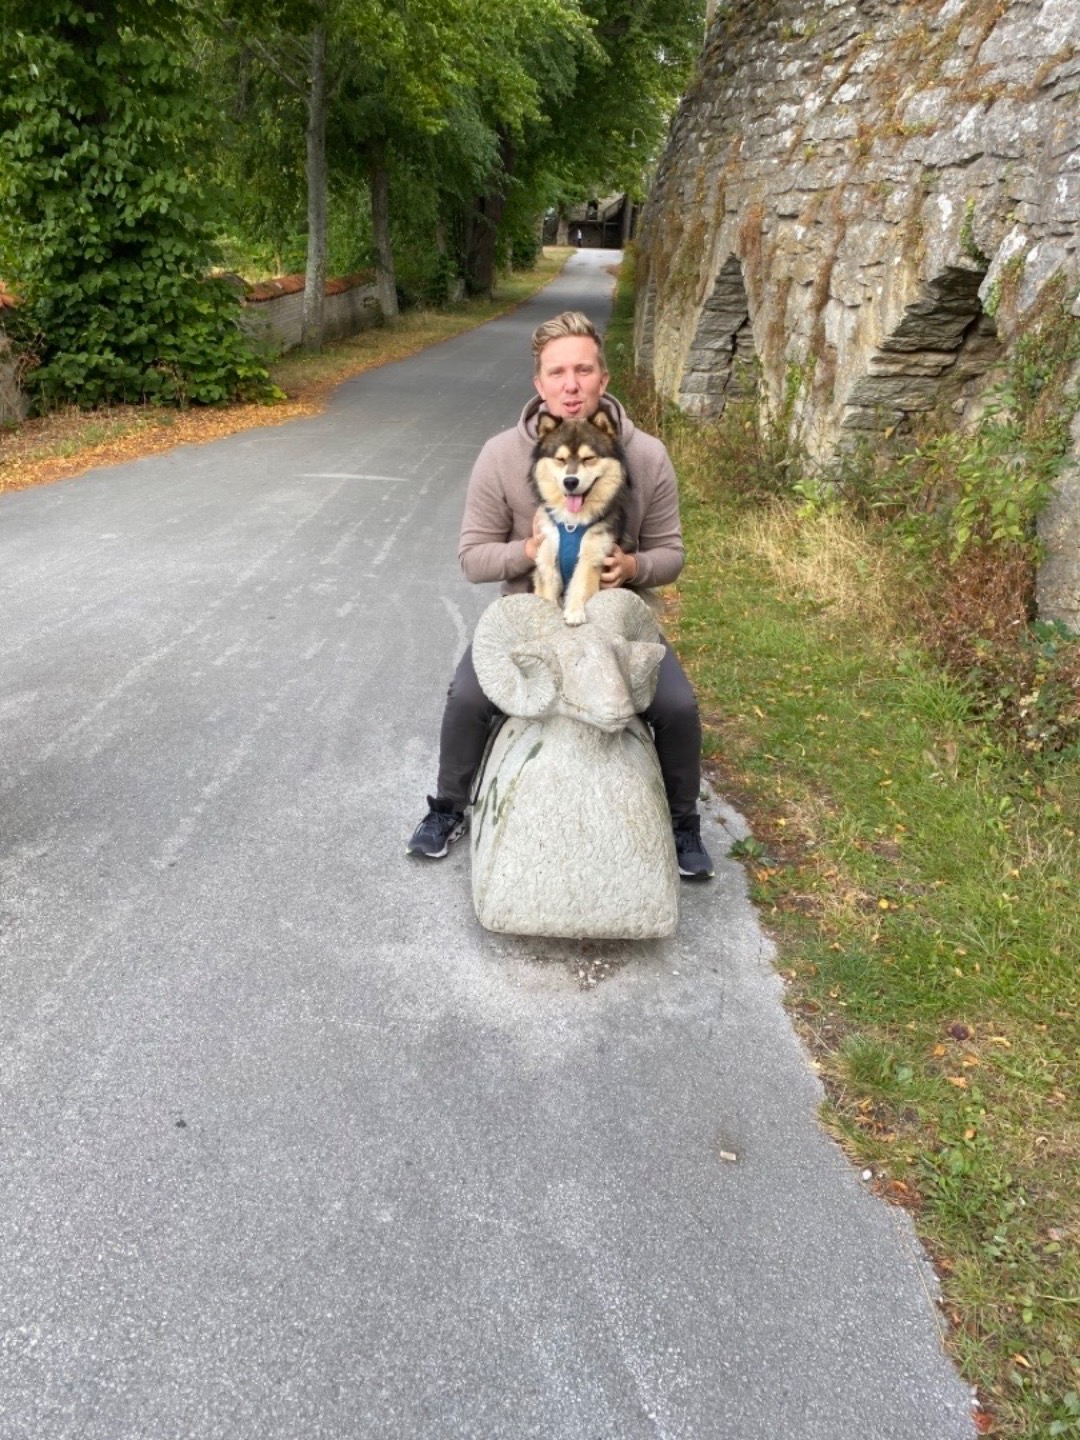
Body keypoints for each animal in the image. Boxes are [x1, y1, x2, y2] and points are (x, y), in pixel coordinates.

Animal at [529, 409, 631, 626]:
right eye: (560, 459)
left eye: (588, 458)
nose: (570, 482)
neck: (571, 525)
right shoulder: (547, 555)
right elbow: (547, 593)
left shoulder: (593, 556)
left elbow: (580, 586)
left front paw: (575, 612)